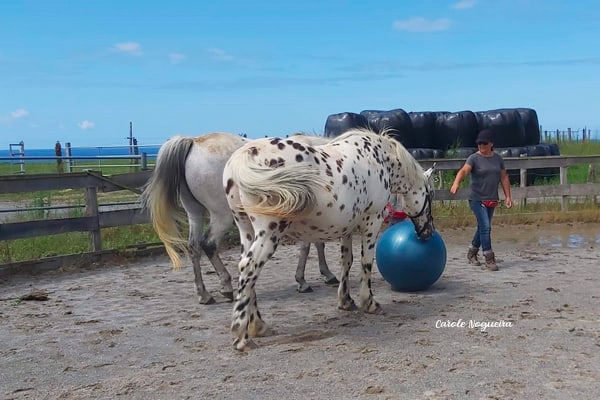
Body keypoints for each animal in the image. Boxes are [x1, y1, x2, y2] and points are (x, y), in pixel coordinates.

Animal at [142, 133, 338, 304]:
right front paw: (304, 281)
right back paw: (227, 287)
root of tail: (194, 142)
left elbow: (318, 243)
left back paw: (204, 295)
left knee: (194, 247)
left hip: (195, 213)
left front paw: (325, 274)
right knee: (209, 244)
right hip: (223, 216)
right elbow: (308, 246)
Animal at [223, 126, 434, 348]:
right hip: (269, 233)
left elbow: (346, 261)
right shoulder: (372, 221)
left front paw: (346, 301)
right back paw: (240, 335)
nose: (428, 232)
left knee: (247, 272)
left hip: (246, 230)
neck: (378, 159)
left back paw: (258, 326)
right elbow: (366, 262)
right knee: (249, 268)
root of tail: (245, 155)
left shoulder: (348, 227)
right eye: (430, 194)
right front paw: (369, 302)